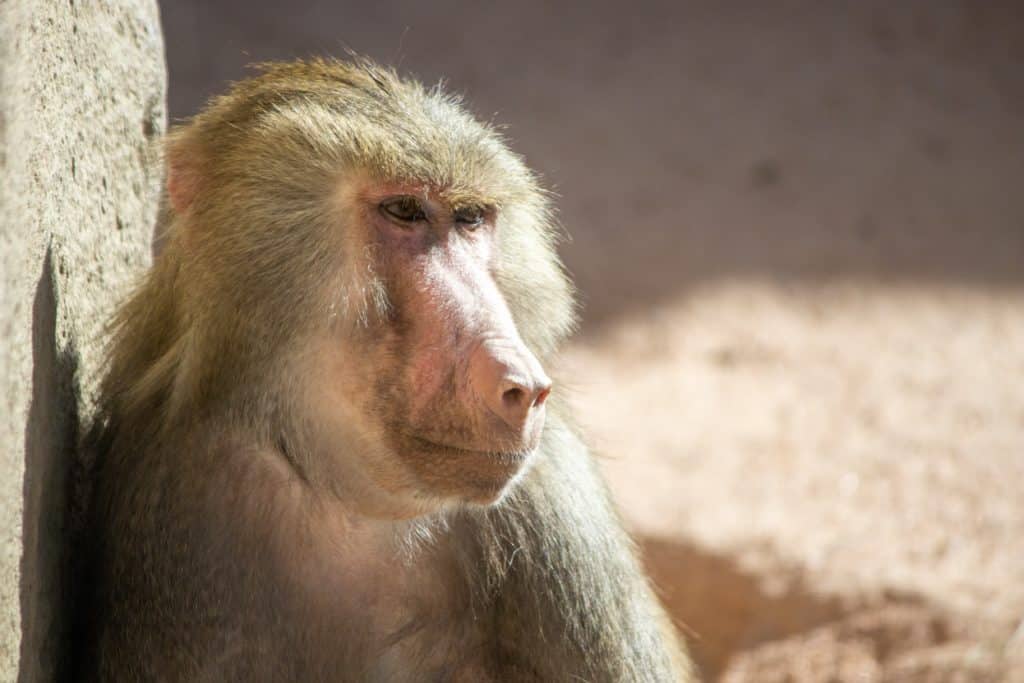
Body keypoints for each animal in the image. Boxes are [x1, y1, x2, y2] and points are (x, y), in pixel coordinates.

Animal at [74, 58, 695, 682]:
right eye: (405, 211)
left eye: (471, 219)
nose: (522, 386)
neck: (336, 483)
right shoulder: (184, 501)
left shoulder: (554, 491)